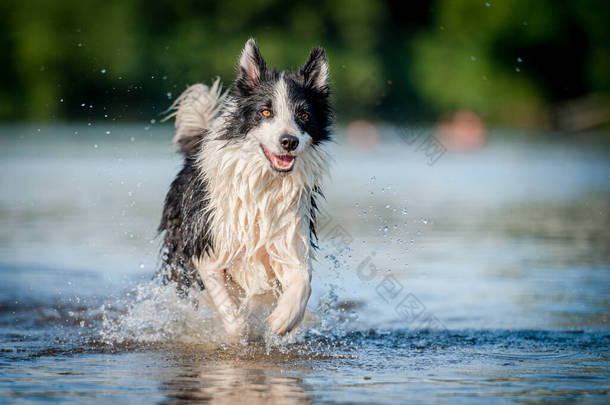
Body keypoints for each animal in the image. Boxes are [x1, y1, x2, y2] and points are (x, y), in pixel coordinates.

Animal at [154, 39, 330, 340]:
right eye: (266, 112)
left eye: (304, 114)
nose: (289, 141)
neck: (265, 183)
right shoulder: (206, 245)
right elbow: (232, 314)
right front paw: (241, 331)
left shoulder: (290, 238)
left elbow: (303, 281)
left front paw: (282, 320)